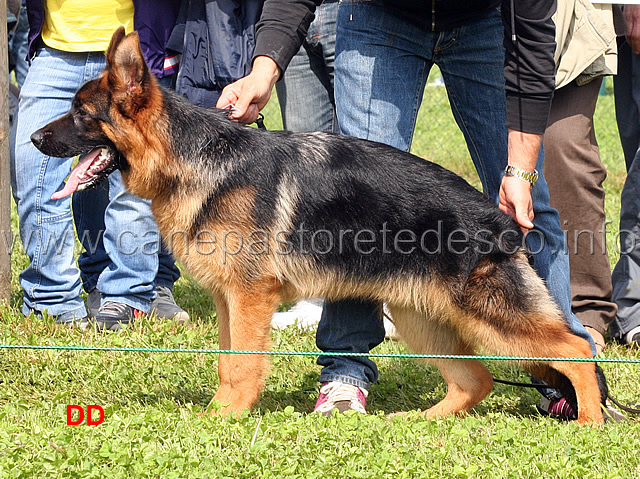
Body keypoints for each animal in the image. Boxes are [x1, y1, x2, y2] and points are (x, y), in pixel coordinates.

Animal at [32, 28, 608, 424]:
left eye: (81, 114)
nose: (35, 138)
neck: (194, 157)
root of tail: (499, 218)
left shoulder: (250, 298)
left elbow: (242, 363)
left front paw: (228, 417)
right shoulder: (228, 300)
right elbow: (224, 361)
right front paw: (219, 412)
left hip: (492, 317)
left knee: (577, 350)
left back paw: (589, 421)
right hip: (423, 317)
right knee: (476, 379)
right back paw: (420, 422)